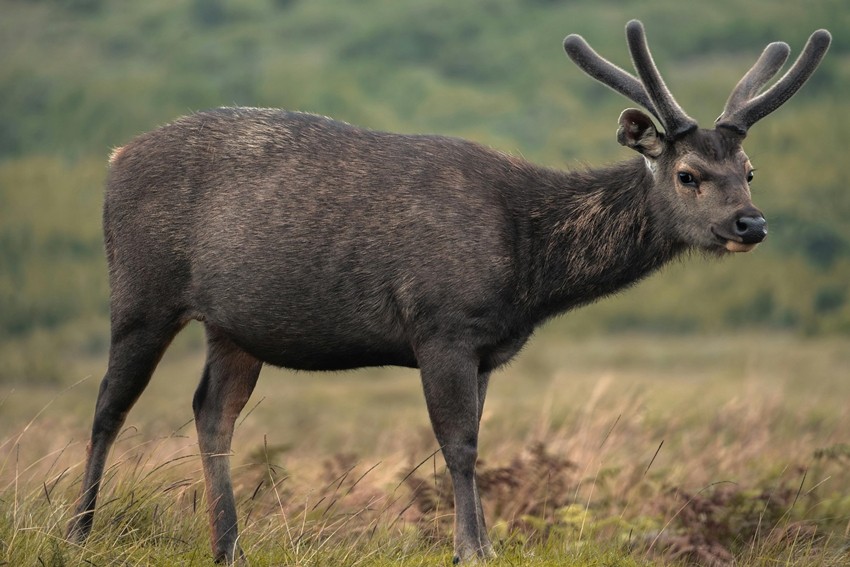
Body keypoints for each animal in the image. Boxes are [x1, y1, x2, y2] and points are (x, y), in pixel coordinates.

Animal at [66, 19, 830, 564]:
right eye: (688, 174)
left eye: (750, 170)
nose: (751, 223)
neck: (529, 265)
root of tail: (113, 157)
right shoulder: (441, 324)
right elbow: (458, 444)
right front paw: (471, 550)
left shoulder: (487, 348)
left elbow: (477, 442)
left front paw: (482, 543)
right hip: (141, 289)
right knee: (109, 405)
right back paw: (78, 533)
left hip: (234, 326)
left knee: (211, 413)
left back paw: (230, 547)